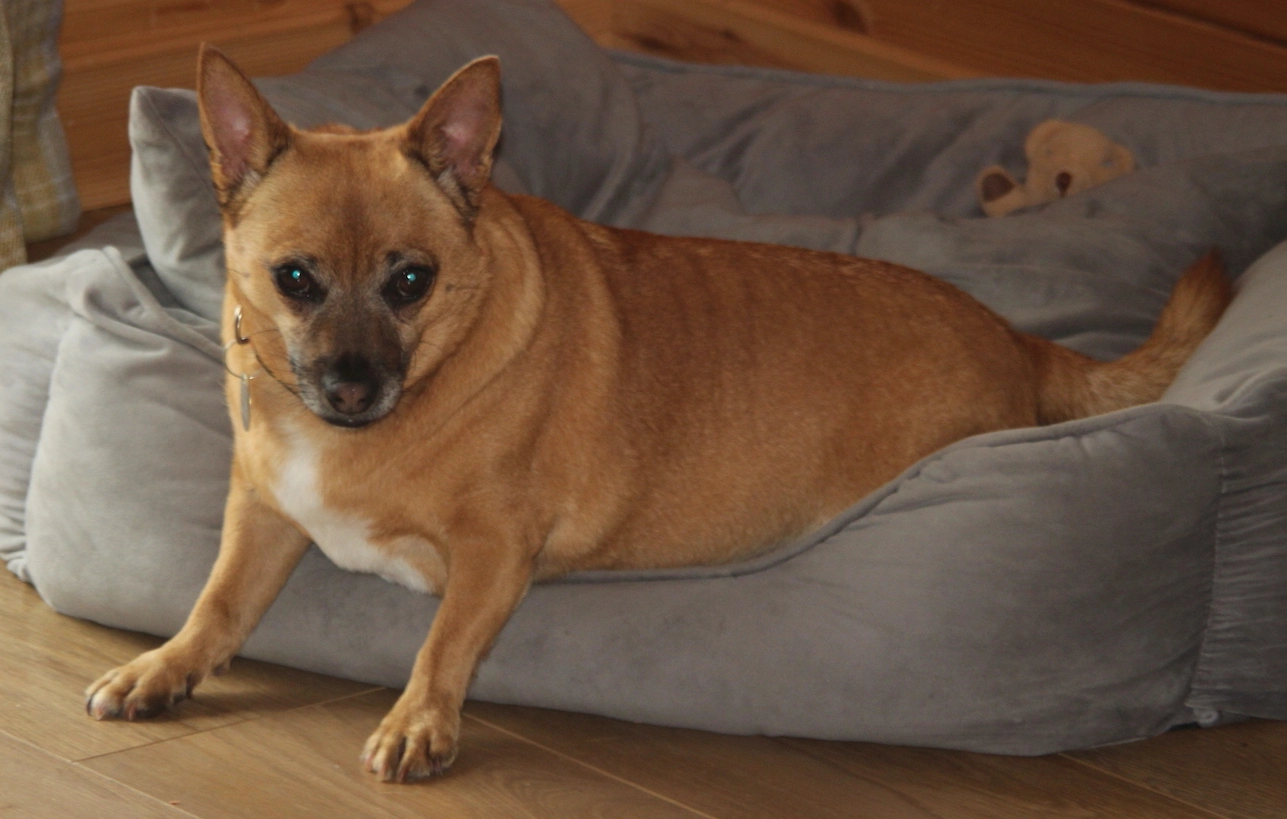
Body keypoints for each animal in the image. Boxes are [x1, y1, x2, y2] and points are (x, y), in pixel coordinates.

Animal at [85, 44, 1230, 782]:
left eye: (412, 281)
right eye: (293, 279)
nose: (353, 390)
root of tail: (1018, 338)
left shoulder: (493, 552)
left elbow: (441, 644)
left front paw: (418, 721)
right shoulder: (262, 516)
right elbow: (215, 606)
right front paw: (162, 668)